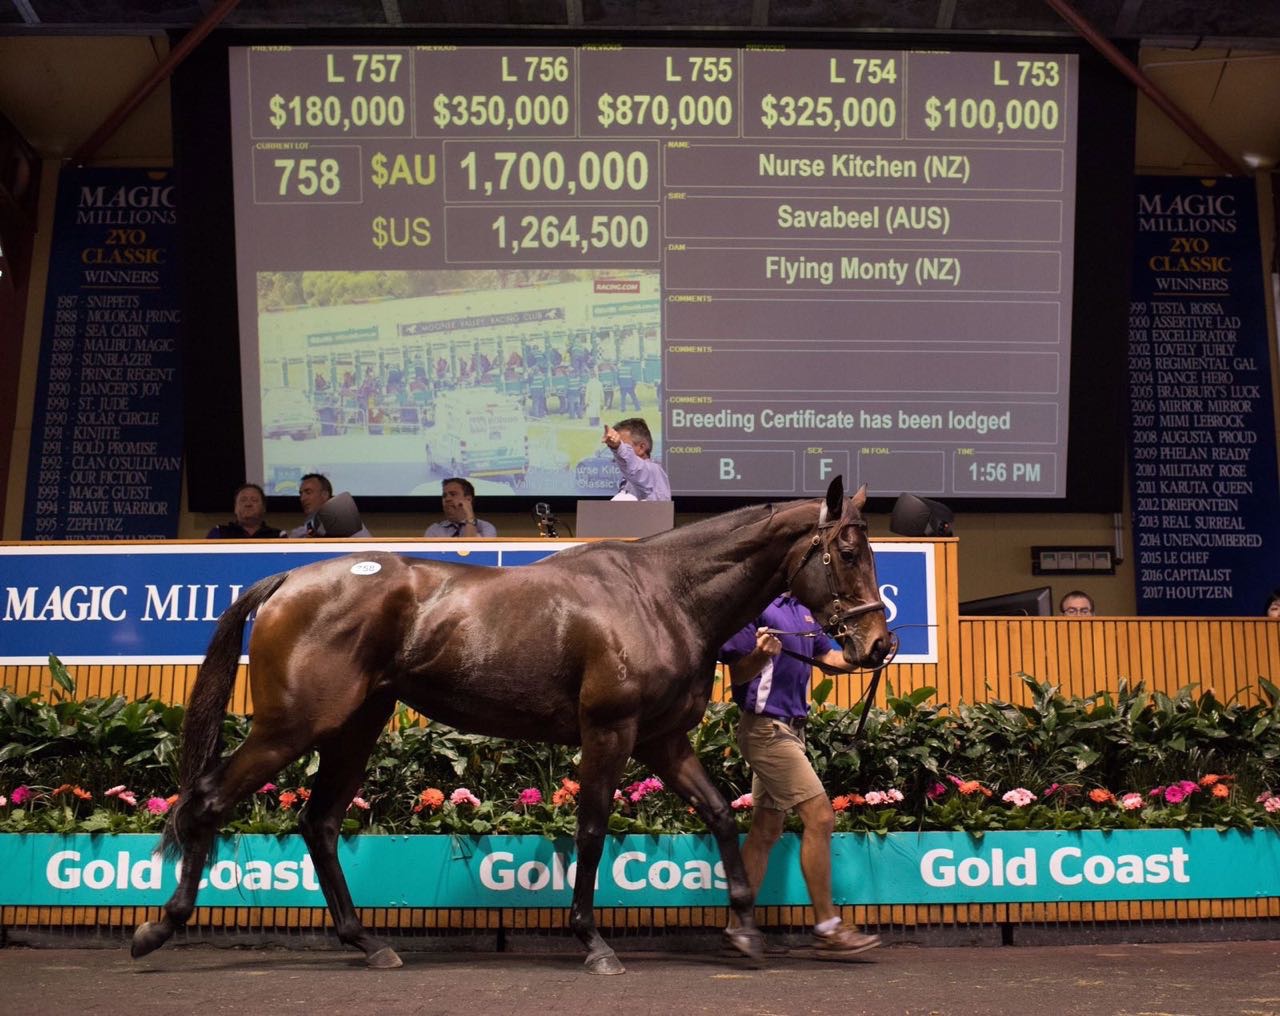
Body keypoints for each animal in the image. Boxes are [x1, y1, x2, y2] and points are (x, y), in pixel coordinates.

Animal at [129, 476, 890, 967]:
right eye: (849, 553)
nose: (877, 645)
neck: (658, 595)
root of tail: (290, 579)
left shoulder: (663, 741)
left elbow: (722, 817)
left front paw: (744, 932)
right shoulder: (610, 733)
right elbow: (592, 830)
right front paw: (592, 942)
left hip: (354, 727)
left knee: (318, 821)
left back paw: (366, 942)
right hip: (291, 727)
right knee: (208, 802)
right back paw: (157, 929)